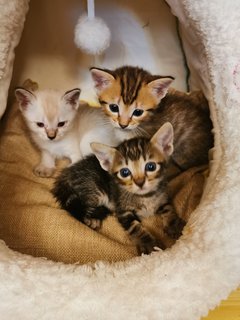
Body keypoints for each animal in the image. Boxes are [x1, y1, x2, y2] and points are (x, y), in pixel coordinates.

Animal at [52, 122, 186, 255]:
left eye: (151, 166)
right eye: (125, 172)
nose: (140, 183)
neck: (145, 197)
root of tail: (67, 173)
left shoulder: (163, 197)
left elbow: (168, 208)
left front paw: (174, 225)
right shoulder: (122, 210)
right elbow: (135, 227)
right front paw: (149, 244)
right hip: (94, 189)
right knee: (77, 208)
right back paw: (91, 219)